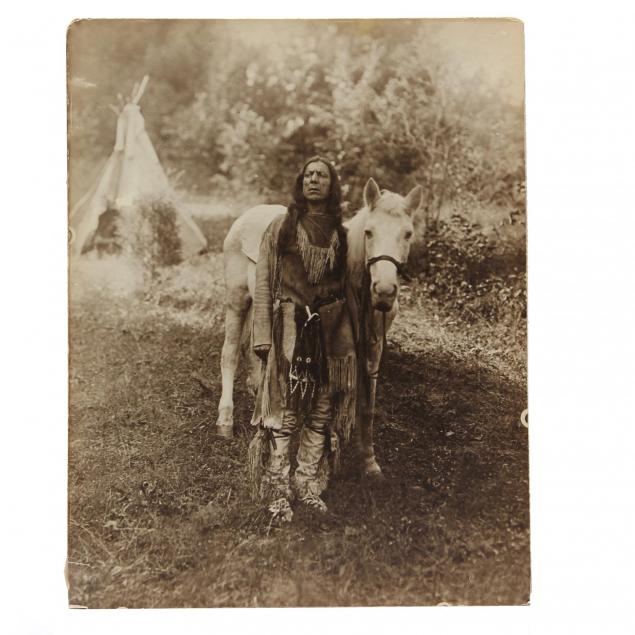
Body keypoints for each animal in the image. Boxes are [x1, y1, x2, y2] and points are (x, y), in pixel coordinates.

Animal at [217, 179, 422, 476]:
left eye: (407, 234)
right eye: (369, 232)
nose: (384, 292)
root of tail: (248, 215)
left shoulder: (372, 349)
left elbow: (367, 404)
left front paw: (368, 460)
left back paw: (256, 387)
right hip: (237, 300)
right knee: (230, 353)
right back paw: (225, 420)